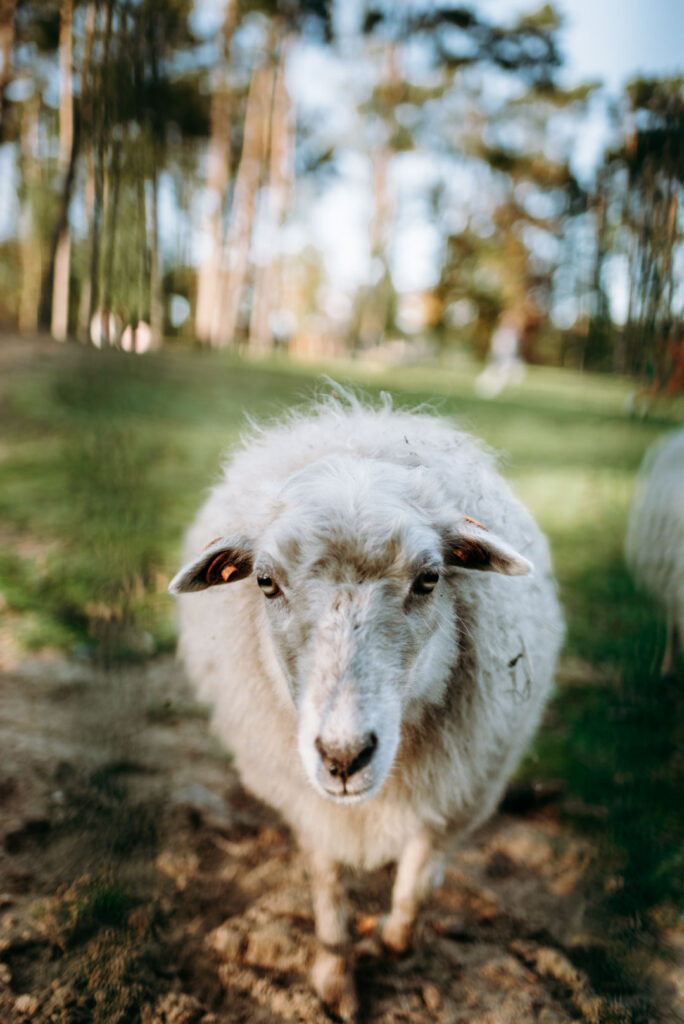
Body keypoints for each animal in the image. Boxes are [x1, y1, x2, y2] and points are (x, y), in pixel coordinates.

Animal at [167, 387, 565, 1019]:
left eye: (430, 578)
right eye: (264, 581)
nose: (343, 755)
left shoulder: (462, 798)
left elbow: (417, 888)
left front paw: (388, 939)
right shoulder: (309, 801)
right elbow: (328, 885)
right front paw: (334, 974)